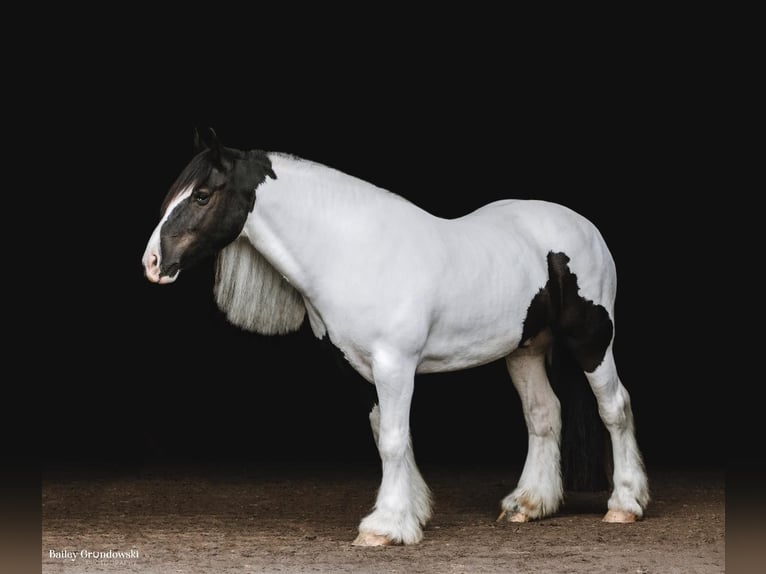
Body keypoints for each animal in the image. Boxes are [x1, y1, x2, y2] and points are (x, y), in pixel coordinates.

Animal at [141, 128, 652, 548]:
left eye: (202, 195)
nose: (152, 263)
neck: (353, 251)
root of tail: (583, 227)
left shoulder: (395, 364)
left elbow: (391, 438)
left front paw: (385, 526)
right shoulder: (361, 368)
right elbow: (385, 434)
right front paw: (412, 512)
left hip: (592, 342)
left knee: (615, 408)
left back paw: (625, 505)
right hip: (526, 349)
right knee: (543, 414)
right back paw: (527, 504)